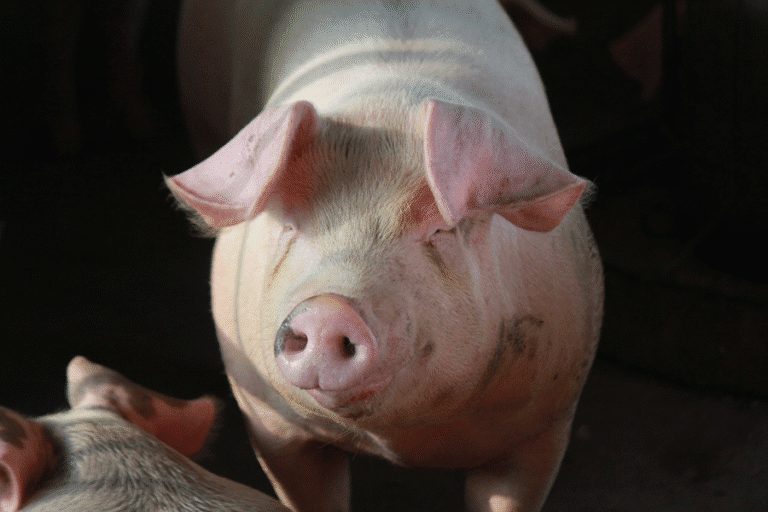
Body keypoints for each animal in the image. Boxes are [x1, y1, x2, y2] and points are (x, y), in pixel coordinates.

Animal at [168, 1, 604, 511]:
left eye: (442, 230)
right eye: (289, 226)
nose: (329, 308)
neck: (399, 441)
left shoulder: (543, 426)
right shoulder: (271, 424)